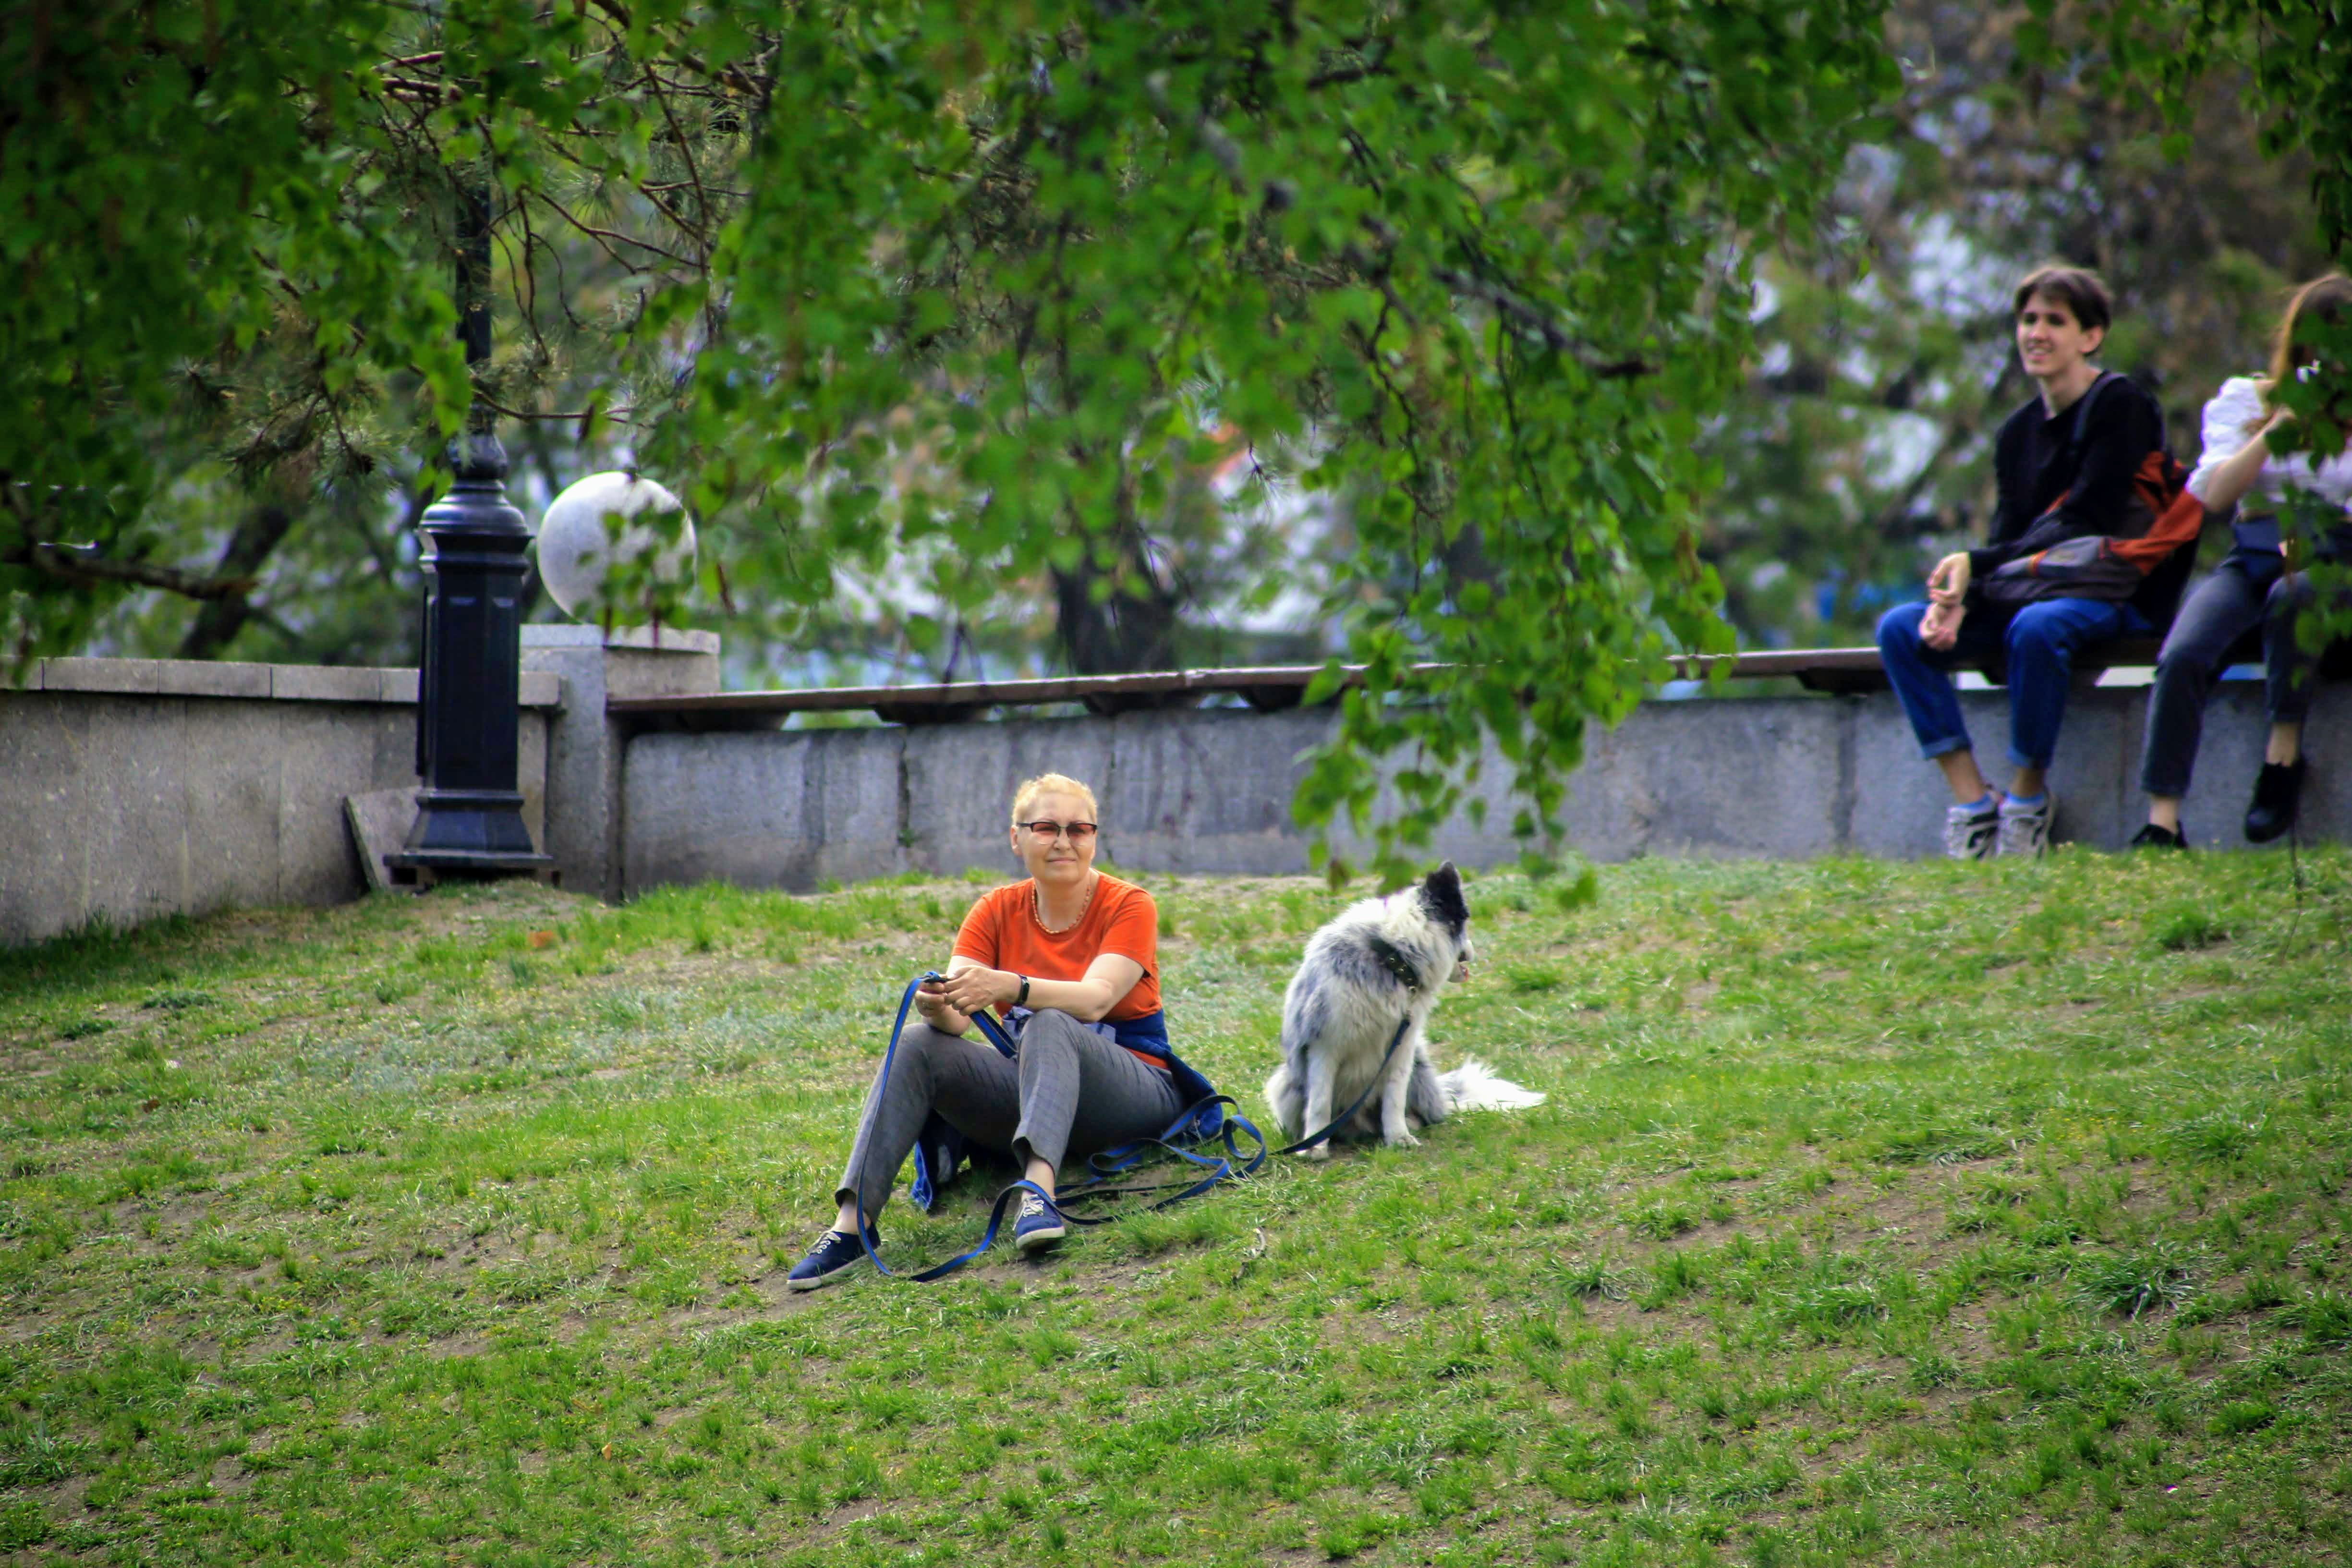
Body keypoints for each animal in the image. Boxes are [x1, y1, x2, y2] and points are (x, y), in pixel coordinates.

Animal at [1263, 861, 1545, 1157]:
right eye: (1464, 922)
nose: (1473, 952)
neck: (1391, 957)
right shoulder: (1325, 1047)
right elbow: (1320, 1103)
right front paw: (1315, 1149)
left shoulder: (1403, 1046)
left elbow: (1394, 1098)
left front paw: (1399, 1138)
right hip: (1284, 1082)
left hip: (1419, 1067)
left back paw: (1411, 1123)